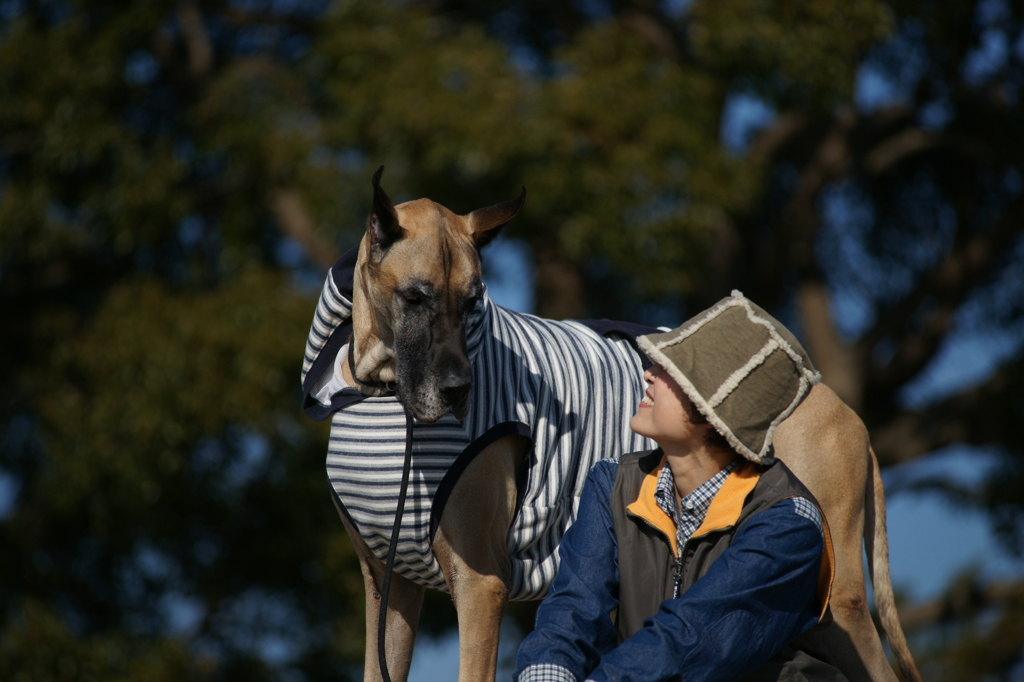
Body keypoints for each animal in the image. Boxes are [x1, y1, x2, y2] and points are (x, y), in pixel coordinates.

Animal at [333, 166, 921, 679]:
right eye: (415, 297)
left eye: (474, 302)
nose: (460, 390)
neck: (382, 394)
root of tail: (841, 408)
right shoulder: (389, 589)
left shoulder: (481, 584)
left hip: (836, 604)